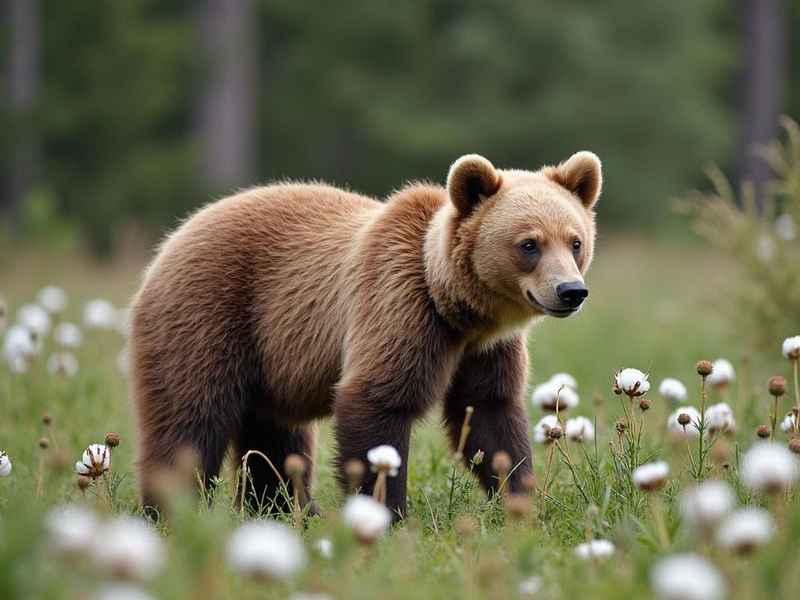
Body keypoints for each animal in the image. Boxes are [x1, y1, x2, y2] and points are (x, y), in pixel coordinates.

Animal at [129, 151, 601, 519]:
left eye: (575, 241)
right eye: (529, 244)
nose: (570, 291)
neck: (456, 309)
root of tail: (171, 240)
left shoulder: (486, 351)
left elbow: (491, 416)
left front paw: (520, 499)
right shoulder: (396, 305)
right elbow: (377, 404)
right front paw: (388, 516)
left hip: (270, 359)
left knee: (273, 437)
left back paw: (287, 510)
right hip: (210, 314)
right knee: (191, 418)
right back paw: (172, 512)